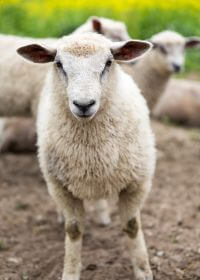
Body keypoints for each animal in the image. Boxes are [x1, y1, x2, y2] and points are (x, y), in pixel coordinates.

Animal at [16, 33, 155, 280]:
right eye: (59, 64)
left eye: (108, 62)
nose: (83, 104)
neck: (91, 151)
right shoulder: (60, 188)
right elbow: (73, 230)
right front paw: (70, 272)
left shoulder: (137, 183)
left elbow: (132, 227)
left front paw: (143, 270)